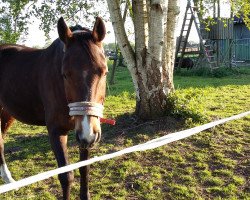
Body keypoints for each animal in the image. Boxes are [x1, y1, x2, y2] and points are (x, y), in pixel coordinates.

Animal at [0, 16, 106, 199]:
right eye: (65, 74)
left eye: (104, 72)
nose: (88, 132)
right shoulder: (57, 131)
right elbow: (66, 176)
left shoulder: (84, 138)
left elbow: (84, 170)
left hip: (6, 114)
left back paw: (9, 180)